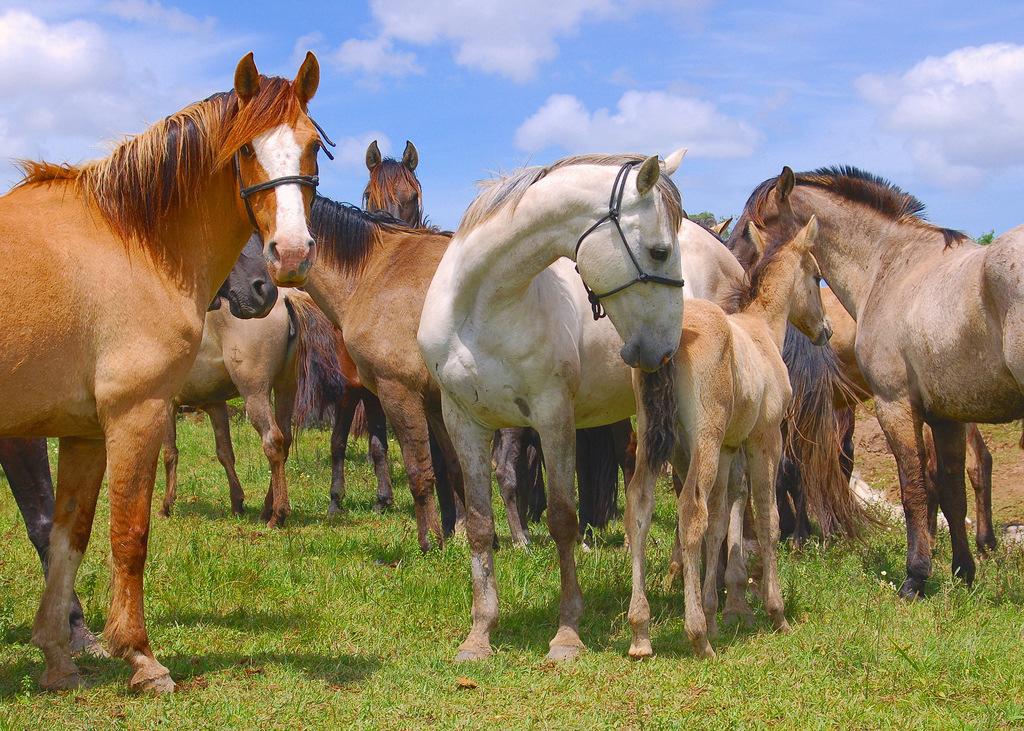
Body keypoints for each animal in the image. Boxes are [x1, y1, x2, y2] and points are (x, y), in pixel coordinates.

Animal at [159, 288, 335, 524]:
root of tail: (284, 296)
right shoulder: (216, 406)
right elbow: (225, 453)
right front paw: (237, 503)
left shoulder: (167, 406)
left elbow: (170, 453)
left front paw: (166, 506)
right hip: (286, 387)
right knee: (285, 440)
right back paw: (267, 509)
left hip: (255, 394)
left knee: (273, 440)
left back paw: (278, 514)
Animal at [415, 149, 688, 659]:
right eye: (660, 251)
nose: (664, 350)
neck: (482, 311)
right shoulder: (463, 423)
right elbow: (479, 525)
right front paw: (480, 633)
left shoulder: (553, 418)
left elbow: (564, 520)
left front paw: (567, 633)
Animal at [733, 164, 1019, 597]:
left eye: (752, 227)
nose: (737, 283)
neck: (892, 266)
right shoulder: (944, 416)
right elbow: (950, 491)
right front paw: (962, 573)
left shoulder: (894, 406)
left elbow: (913, 489)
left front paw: (915, 577)